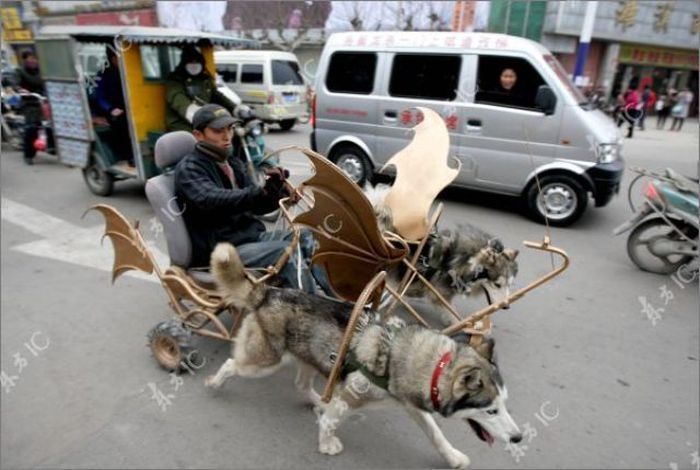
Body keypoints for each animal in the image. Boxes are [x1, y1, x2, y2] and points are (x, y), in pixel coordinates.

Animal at [202, 244, 520, 468]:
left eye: (504, 404)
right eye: (490, 410)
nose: (518, 437)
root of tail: (268, 291)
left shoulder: (413, 406)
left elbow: (436, 435)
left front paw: (453, 457)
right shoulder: (355, 394)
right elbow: (331, 422)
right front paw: (327, 444)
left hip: (311, 359)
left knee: (302, 386)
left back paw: (320, 402)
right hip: (265, 362)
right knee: (231, 364)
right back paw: (215, 383)